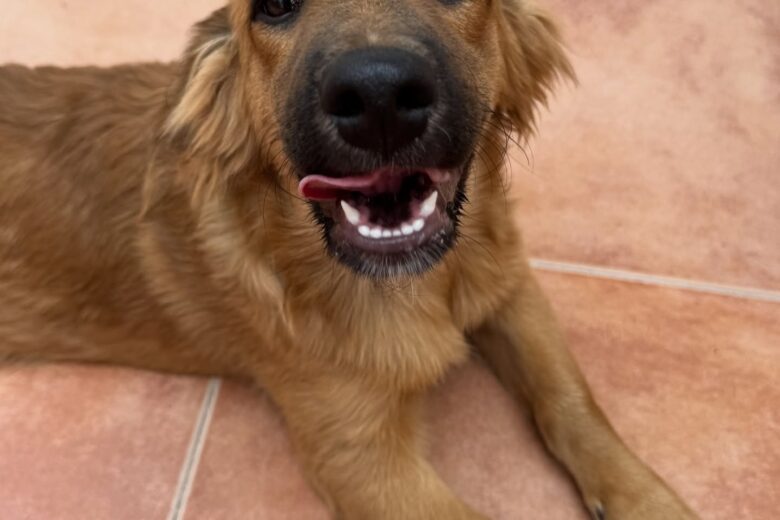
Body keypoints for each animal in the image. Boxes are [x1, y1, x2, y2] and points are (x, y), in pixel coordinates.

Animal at [0, 1, 699, 518]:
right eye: (274, 5)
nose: (379, 97)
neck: (424, 283)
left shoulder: (509, 287)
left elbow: (571, 401)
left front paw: (649, 501)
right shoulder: (361, 459)